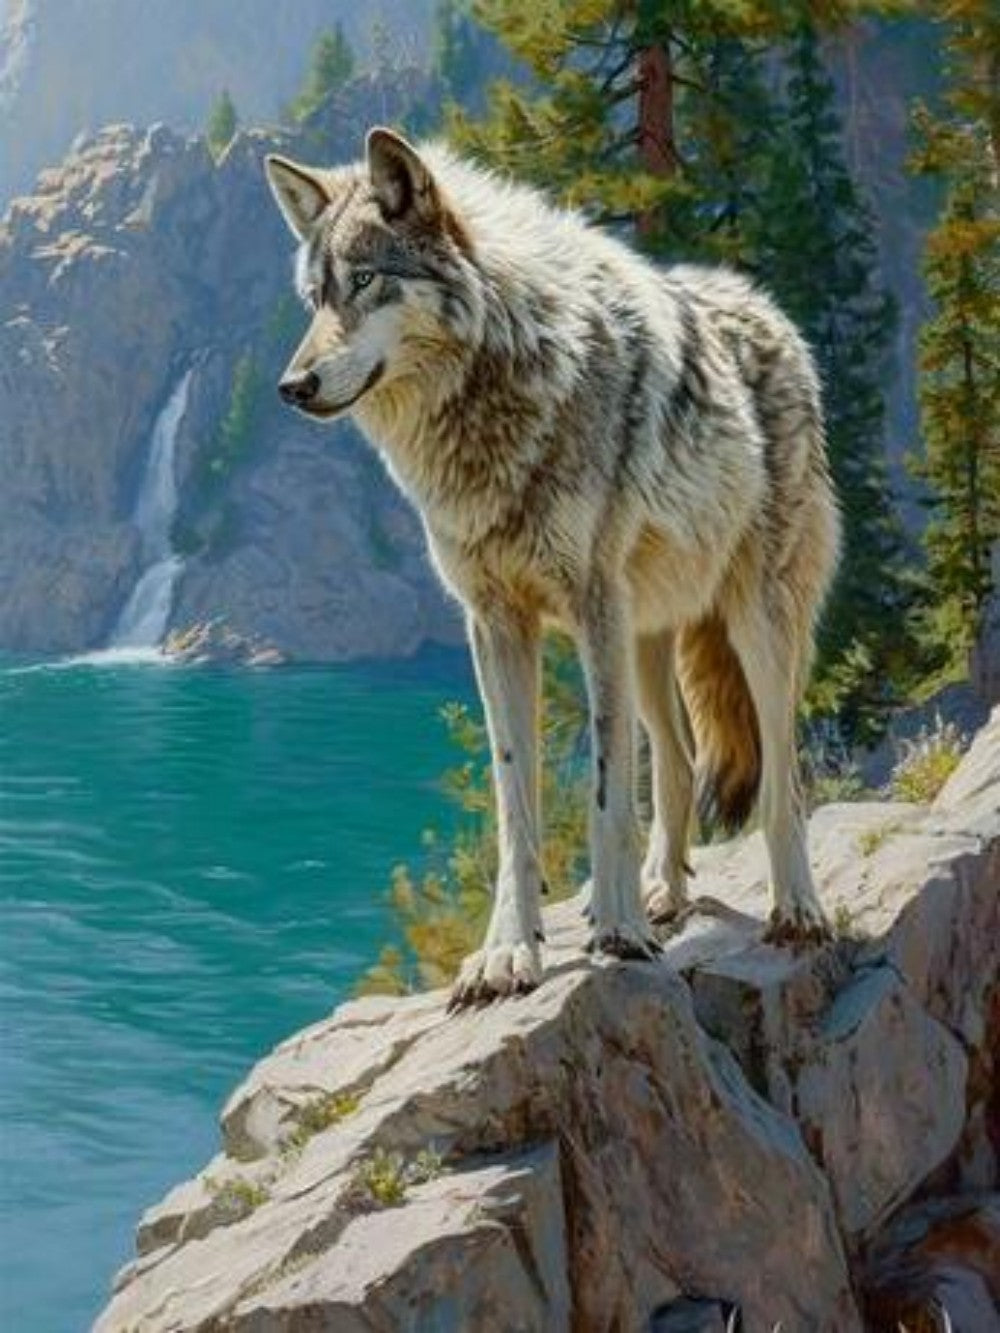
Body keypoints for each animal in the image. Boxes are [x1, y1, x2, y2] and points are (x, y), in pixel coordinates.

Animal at [264, 128, 840, 1007]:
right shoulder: (497, 622)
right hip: (649, 642)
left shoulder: (593, 607)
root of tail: (768, 308)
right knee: (678, 763)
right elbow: (517, 804)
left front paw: (617, 930)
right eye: (313, 298)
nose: (293, 385)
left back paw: (795, 906)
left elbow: (607, 790)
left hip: (756, 624)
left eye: (364, 281)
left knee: (782, 771)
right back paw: (665, 891)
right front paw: (511, 951)